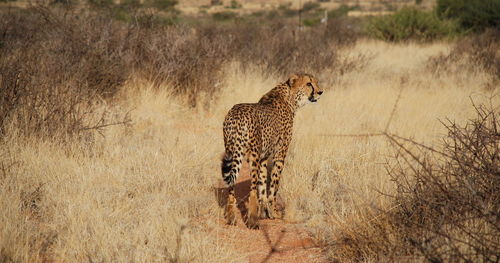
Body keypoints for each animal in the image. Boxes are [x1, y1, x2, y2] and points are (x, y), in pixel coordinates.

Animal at [222, 73, 324, 230]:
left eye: (315, 82)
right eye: (308, 84)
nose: (320, 92)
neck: (290, 97)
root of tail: (236, 113)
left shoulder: (264, 156)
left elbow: (263, 184)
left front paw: (264, 212)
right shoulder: (279, 154)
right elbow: (274, 184)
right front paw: (274, 212)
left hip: (231, 152)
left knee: (231, 187)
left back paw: (232, 218)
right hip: (253, 155)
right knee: (252, 189)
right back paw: (252, 221)